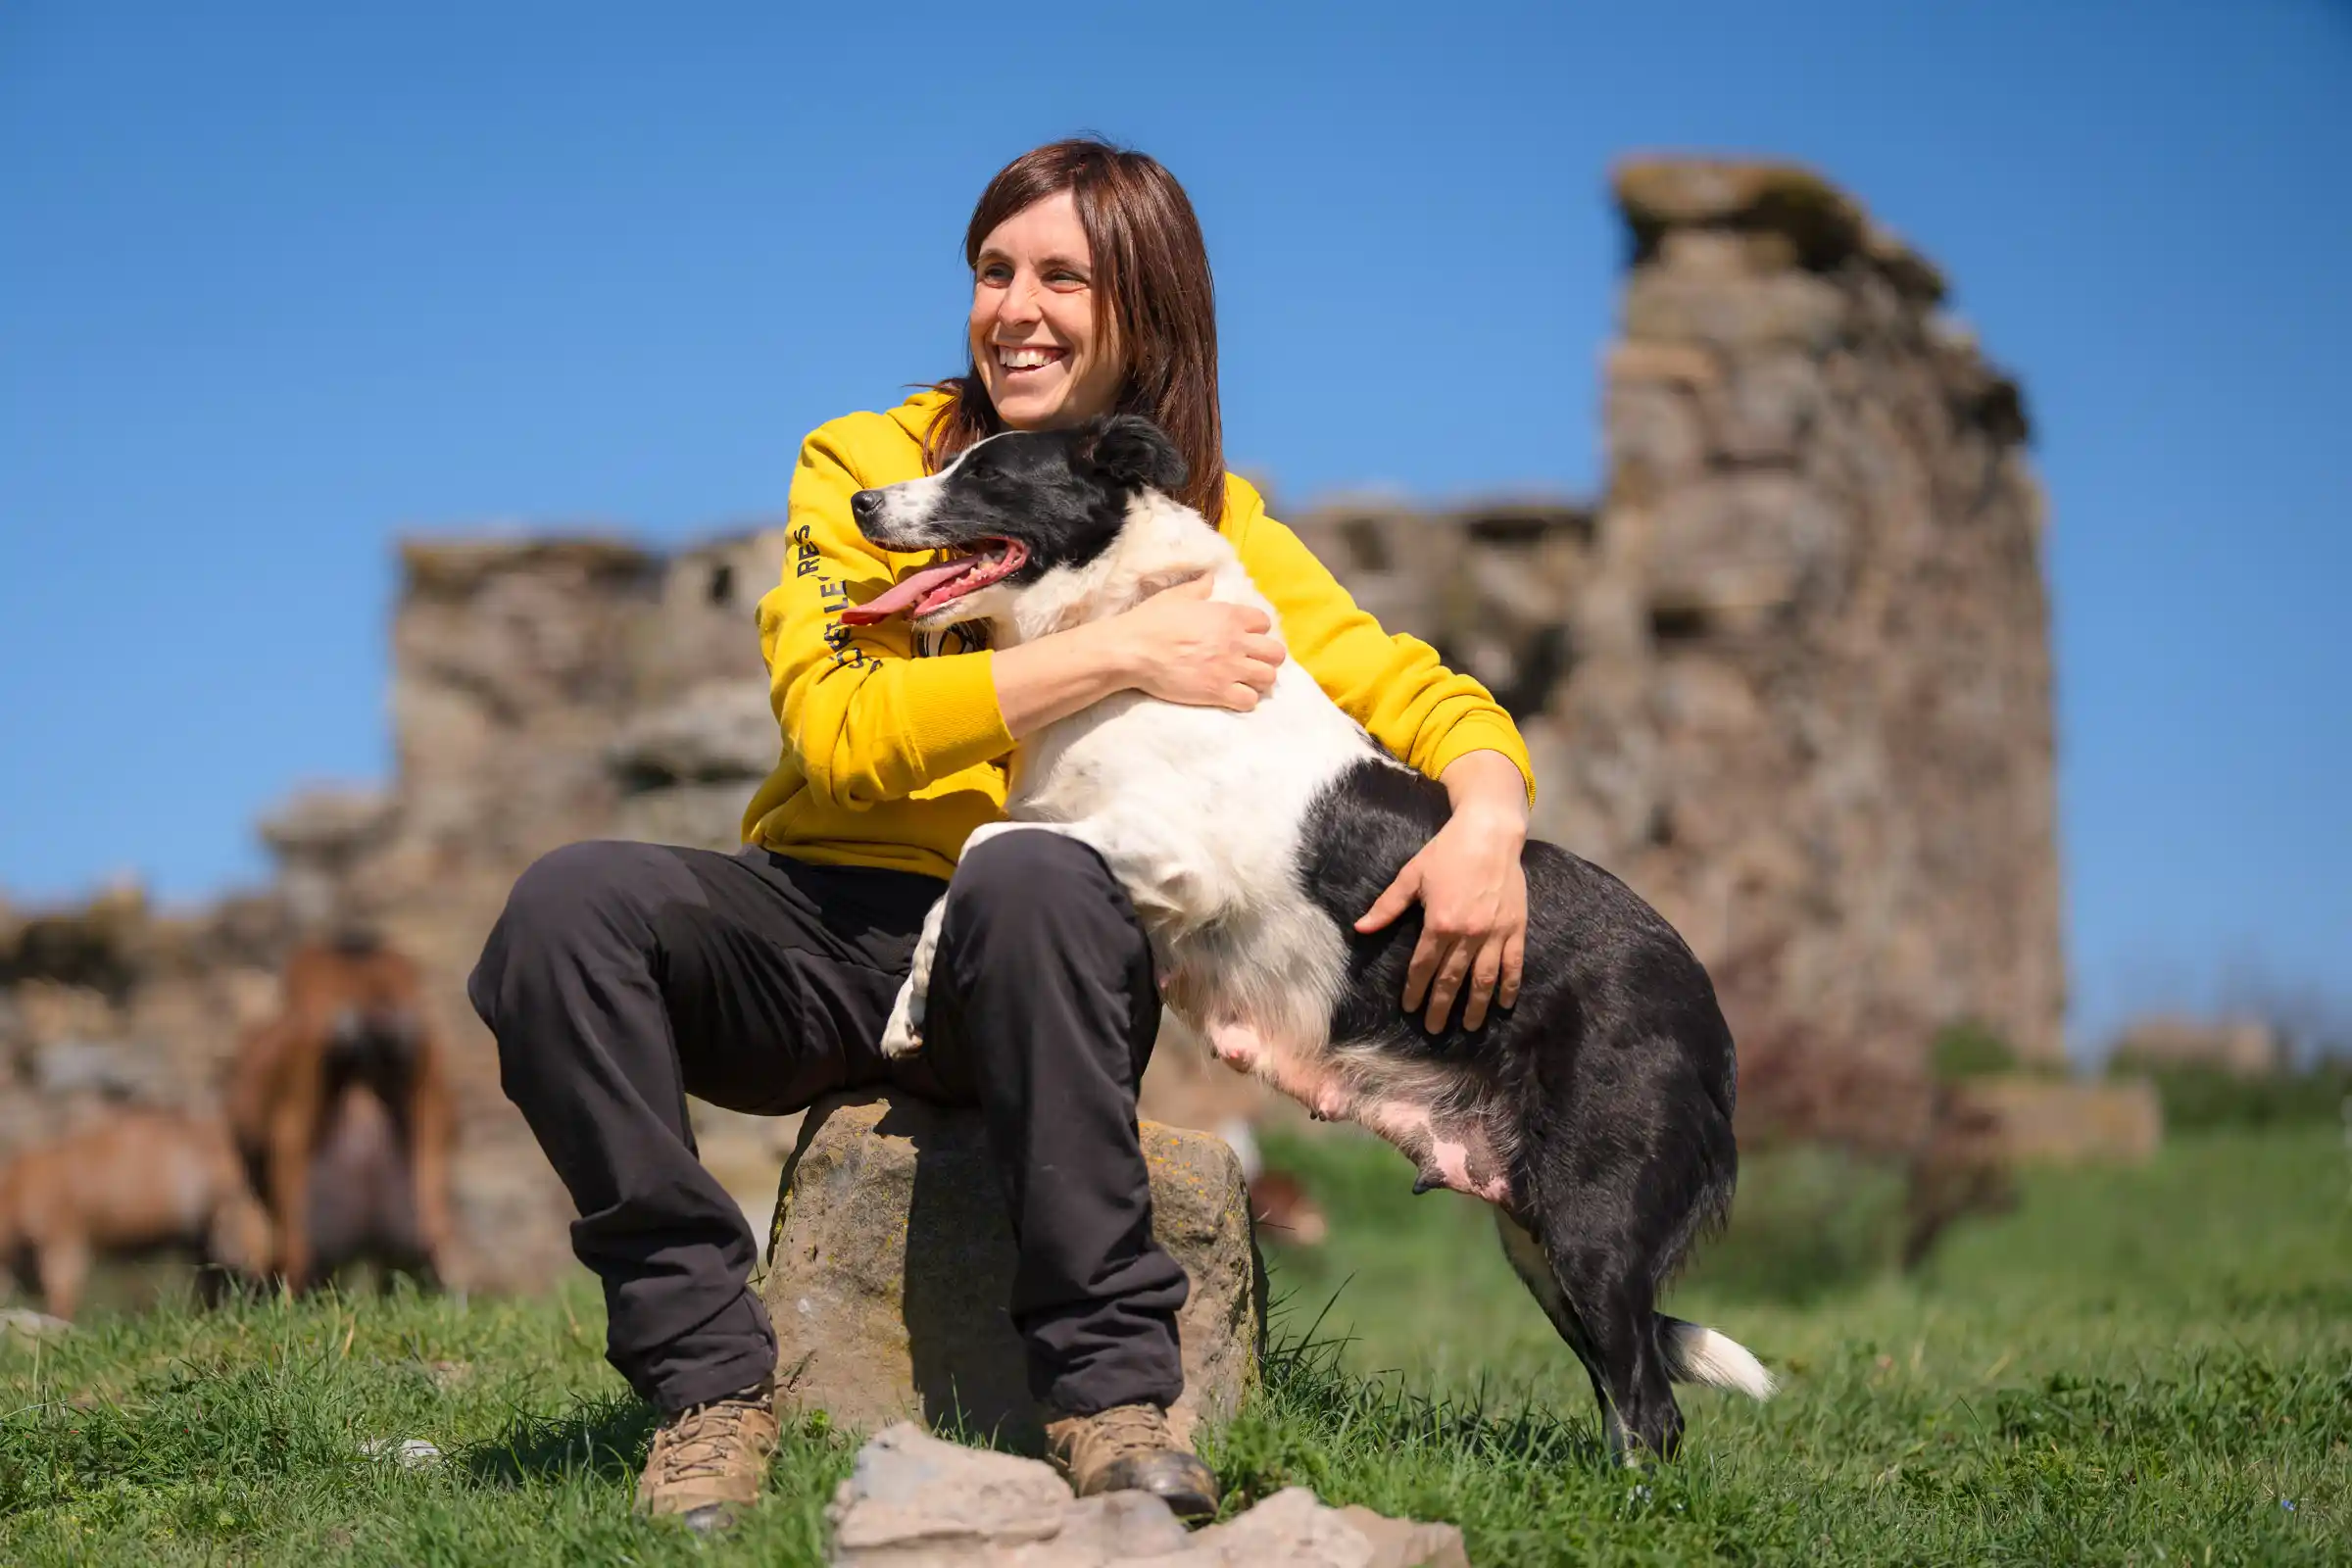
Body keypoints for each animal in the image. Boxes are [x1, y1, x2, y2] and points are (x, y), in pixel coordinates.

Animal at [842, 416, 1773, 1458]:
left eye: (990, 474)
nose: (862, 503)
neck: (1122, 624)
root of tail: (1713, 1020)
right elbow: (965, 871)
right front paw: (907, 1007)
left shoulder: (1174, 857)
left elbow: (981, 849)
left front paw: (914, 999)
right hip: (1537, 1237)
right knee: (1625, 1394)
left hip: (1590, 1222)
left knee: (1651, 1407)